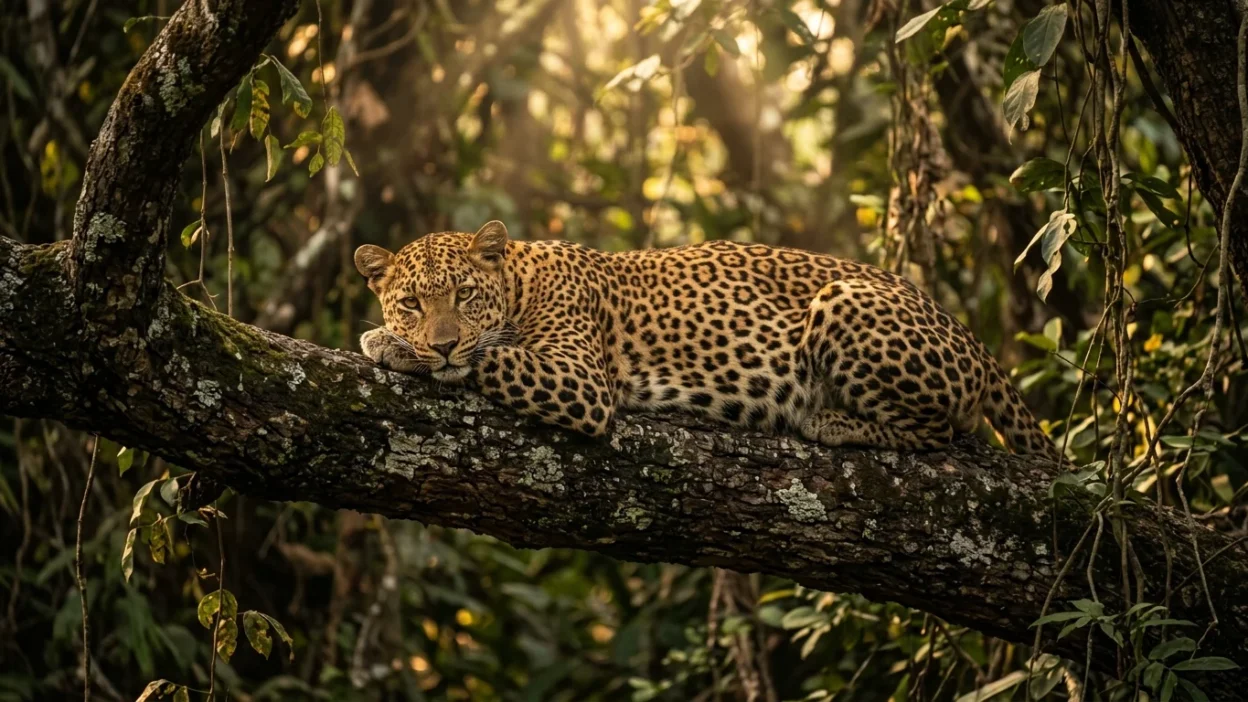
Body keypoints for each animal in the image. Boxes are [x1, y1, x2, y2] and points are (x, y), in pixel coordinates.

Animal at [355, 220, 1058, 458]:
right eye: (412, 303)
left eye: (464, 296)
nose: (442, 343)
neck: (521, 279)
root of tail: (967, 333)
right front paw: (399, 343)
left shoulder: (580, 382)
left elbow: (493, 357)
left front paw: (395, 347)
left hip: (844, 301)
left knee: (943, 432)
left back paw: (829, 420)